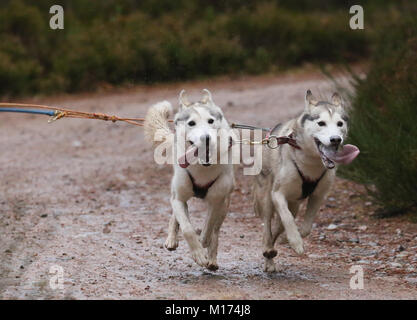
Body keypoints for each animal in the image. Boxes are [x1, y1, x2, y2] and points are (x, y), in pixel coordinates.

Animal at [143, 89, 234, 270]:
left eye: (211, 121)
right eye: (191, 123)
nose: (206, 138)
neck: (202, 168)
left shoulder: (217, 200)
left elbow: (209, 225)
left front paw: (204, 243)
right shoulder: (179, 198)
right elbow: (186, 228)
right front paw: (197, 253)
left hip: (225, 203)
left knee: (216, 230)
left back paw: (212, 257)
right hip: (177, 191)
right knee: (176, 213)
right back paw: (172, 239)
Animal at [252, 90, 360, 272]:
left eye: (339, 123)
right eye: (321, 123)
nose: (336, 139)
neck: (311, 163)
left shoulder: (318, 196)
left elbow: (306, 227)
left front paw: (288, 238)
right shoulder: (278, 194)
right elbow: (288, 219)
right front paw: (295, 242)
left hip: (295, 204)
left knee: (278, 227)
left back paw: (273, 250)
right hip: (266, 198)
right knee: (267, 226)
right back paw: (268, 250)